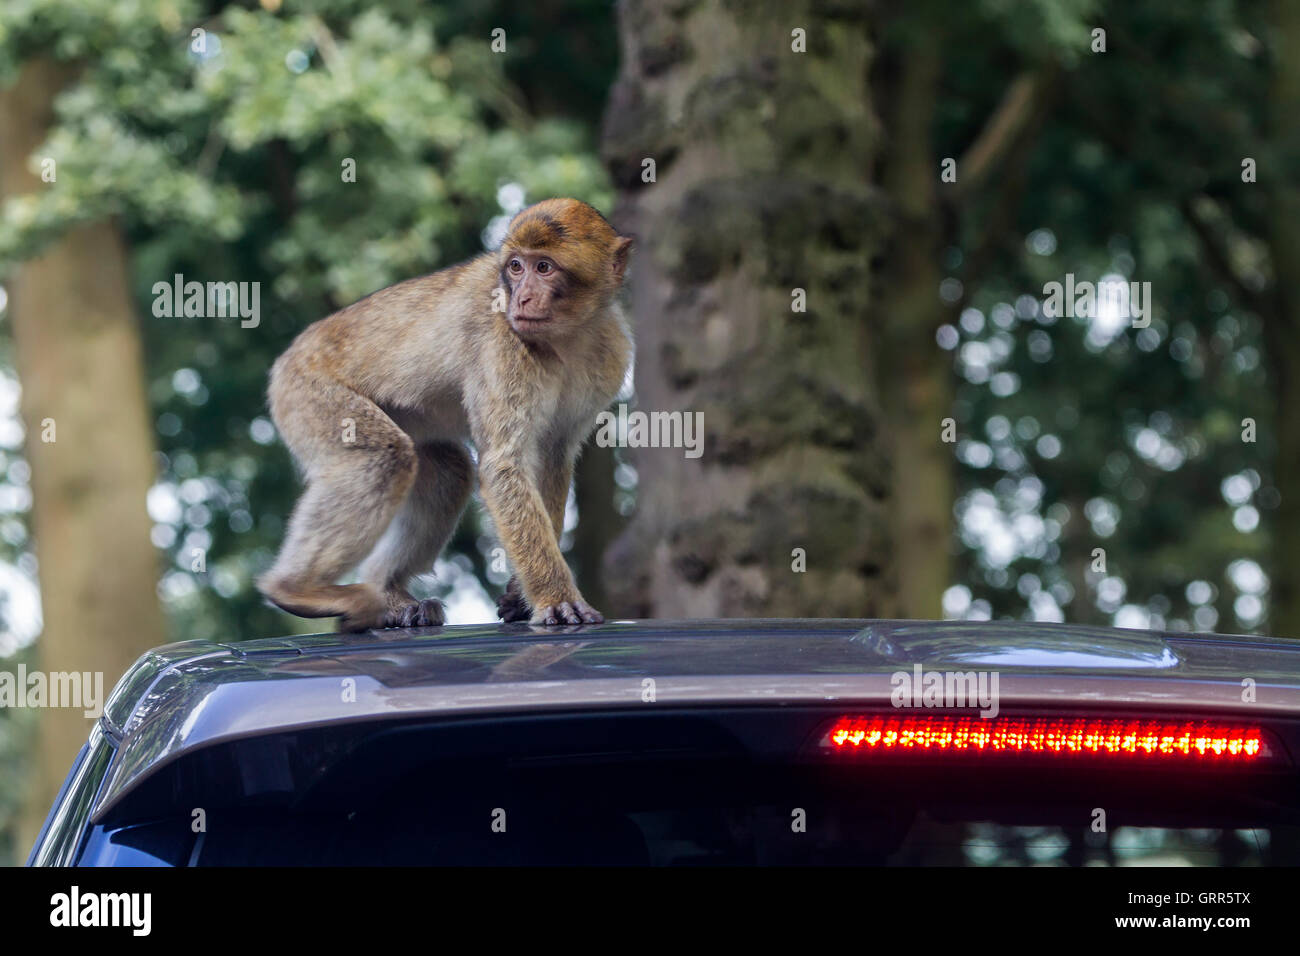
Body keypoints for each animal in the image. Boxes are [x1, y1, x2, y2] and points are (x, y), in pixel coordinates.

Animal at [256, 197, 631, 632]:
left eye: (544, 267)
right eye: (516, 267)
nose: (520, 299)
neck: (569, 336)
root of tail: (289, 354)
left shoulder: (612, 352)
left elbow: (553, 456)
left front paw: (520, 595)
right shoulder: (503, 342)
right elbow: (504, 465)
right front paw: (555, 598)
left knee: (449, 472)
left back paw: (388, 592)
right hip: (305, 390)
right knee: (383, 457)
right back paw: (296, 589)